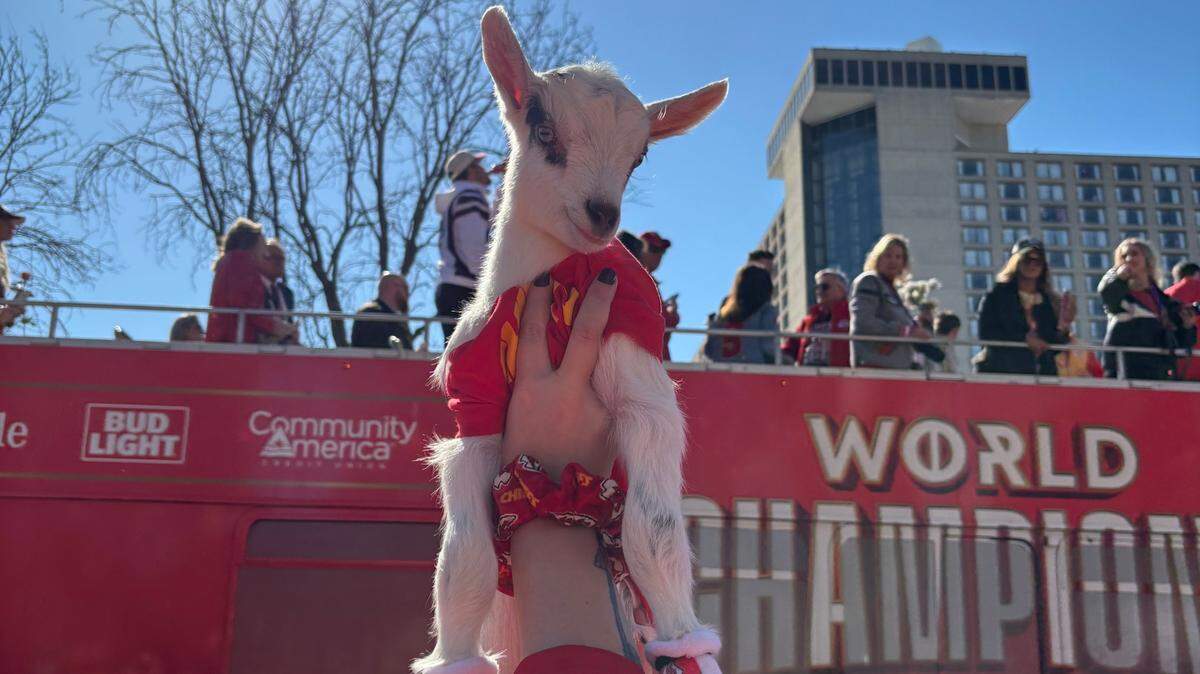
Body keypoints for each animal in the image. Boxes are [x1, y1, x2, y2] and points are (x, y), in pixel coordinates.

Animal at [412, 6, 727, 674]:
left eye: (639, 157)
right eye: (544, 130)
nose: (603, 214)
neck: (554, 283)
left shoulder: (636, 374)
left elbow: (654, 529)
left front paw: (687, 641)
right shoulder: (474, 407)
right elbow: (465, 560)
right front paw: (455, 655)